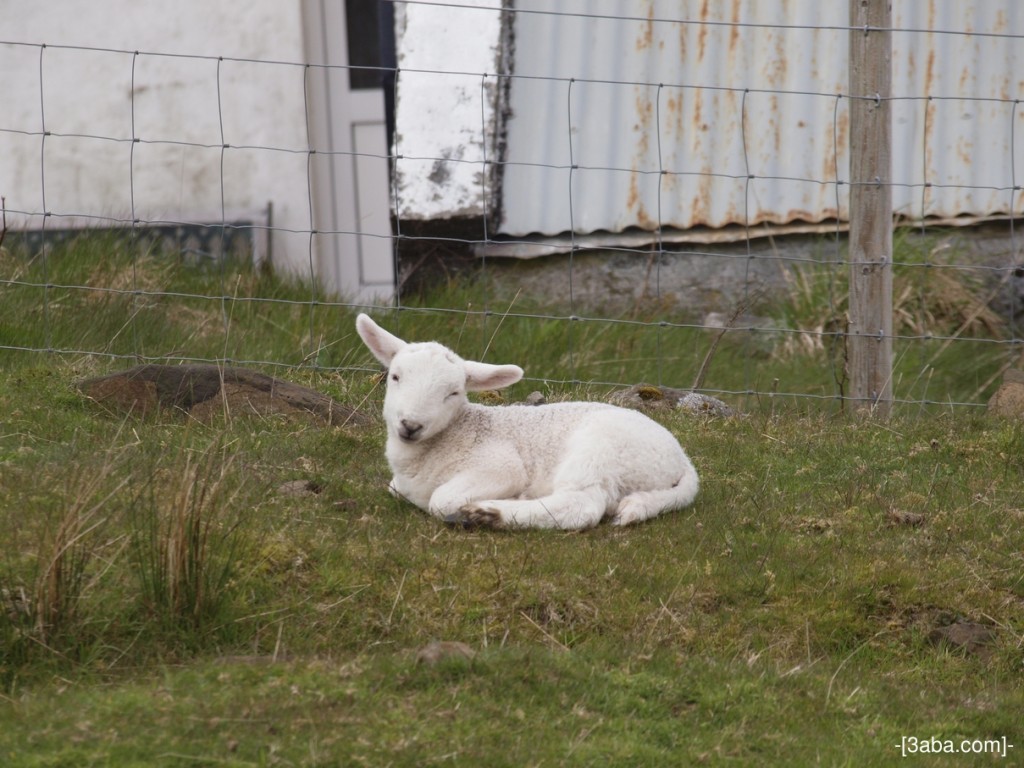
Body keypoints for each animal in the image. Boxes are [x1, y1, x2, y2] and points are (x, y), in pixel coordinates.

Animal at [356, 315, 700, 532]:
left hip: (601, 453)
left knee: (580, 507)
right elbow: (394, 488)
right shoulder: (399, 484)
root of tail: (683, 461)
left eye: (453, 393)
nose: (410, 425)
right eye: (395, 377)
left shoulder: (500, 465)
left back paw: (487, 514)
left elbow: (440, 500)